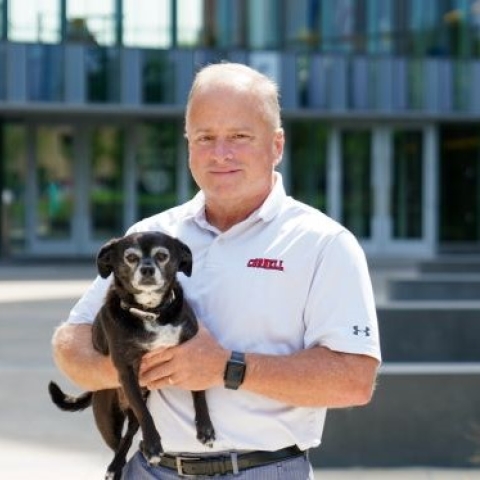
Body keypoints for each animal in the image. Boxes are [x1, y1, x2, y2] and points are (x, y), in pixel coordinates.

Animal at [47, 231, 216, 478]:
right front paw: (154, 445)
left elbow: (199, 393)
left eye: (162, 255)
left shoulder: (193, 356)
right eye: (131, 257)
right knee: (120, 441)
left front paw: (205, 428)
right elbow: (145, 413)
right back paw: (116, 466)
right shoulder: (127, 371)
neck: (151, 313)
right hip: (107, 420)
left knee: (130, 432)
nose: (147, 269)